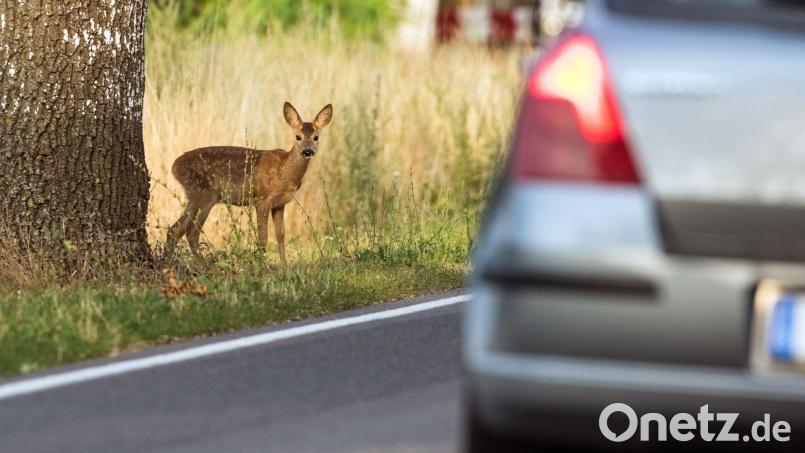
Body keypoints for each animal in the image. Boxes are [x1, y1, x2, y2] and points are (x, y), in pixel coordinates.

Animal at [164, 102, 333, 264]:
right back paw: (202, 262)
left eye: (316, 137)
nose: (307, 151)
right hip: (205, 195)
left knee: (175, 229)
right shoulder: (262, 198)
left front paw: (285, 266)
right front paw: (261, 265)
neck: (285, 171)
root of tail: (174, 167)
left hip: (194, 197)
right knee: (192, 232)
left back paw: (169, 260)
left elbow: (281, 236)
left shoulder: (279, 204)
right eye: (298, 136)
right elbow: (263, 237)